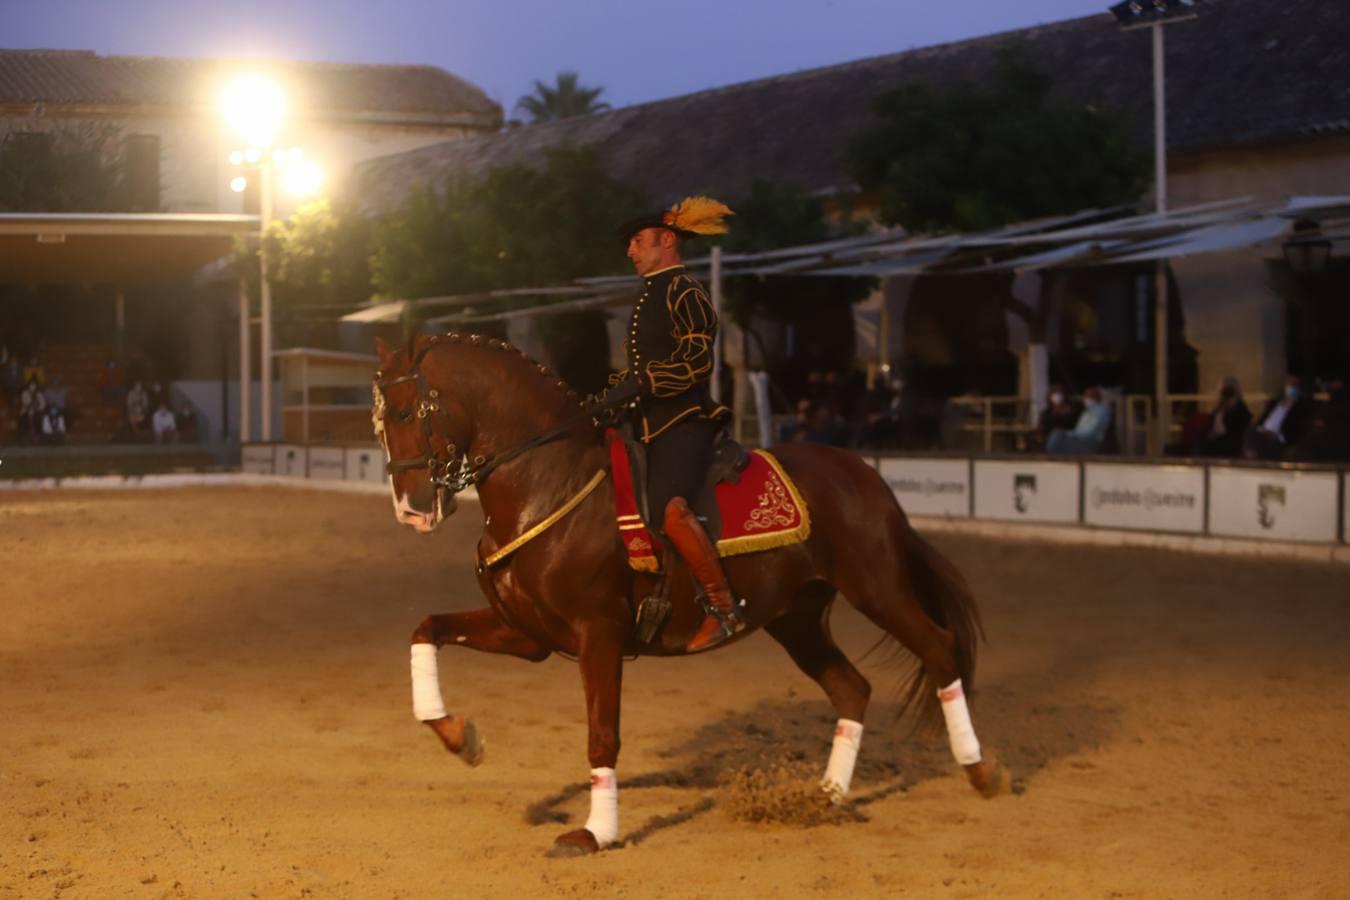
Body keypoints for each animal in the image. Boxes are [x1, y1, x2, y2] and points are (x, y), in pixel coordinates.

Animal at [369, 334, 1004, 858]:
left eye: (404, 412)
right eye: (378, 423)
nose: (411, 510)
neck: (549, 484)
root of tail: (864, 474)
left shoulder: (599, 633)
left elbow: (602, 734)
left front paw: (594, 832)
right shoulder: (527, 634)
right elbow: (426, 628)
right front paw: (461, 738)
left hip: (877, 588)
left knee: (939, 648)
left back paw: (980, 771)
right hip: (796, 618)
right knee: (852, 688)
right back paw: (825, 796)